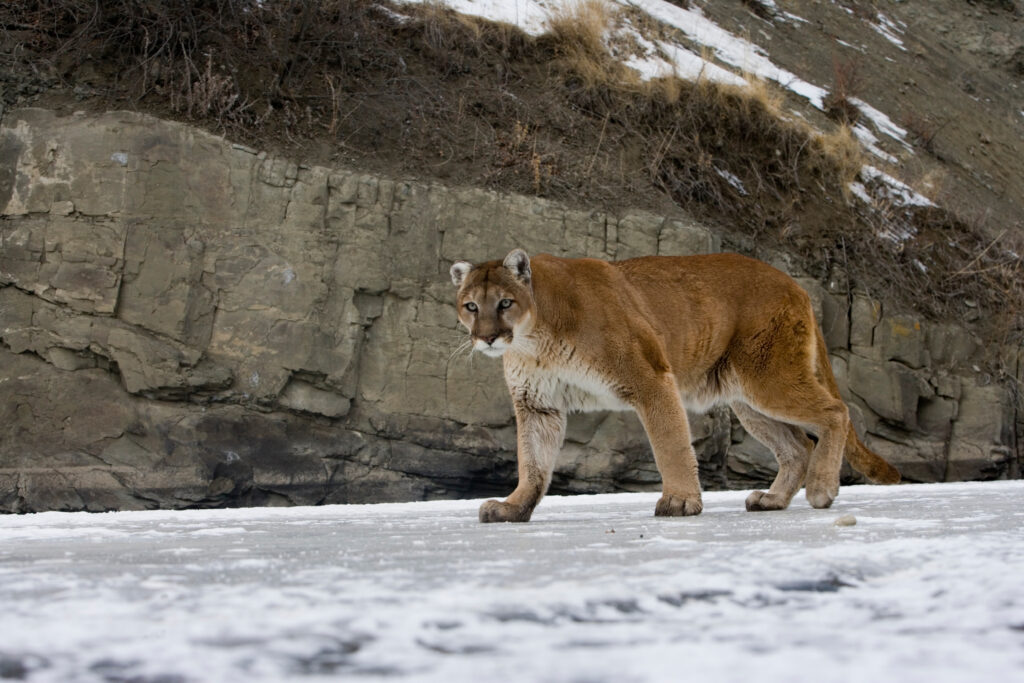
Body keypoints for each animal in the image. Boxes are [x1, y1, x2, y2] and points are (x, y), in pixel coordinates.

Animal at [452, 250, 901, 524]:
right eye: (471, 305)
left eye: (505, 303)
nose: (487, 337)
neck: (534, 340)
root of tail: (795, 283)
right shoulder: (538, 404)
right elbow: (532, 461)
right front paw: (514, 507)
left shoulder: (650, 378)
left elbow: (670, 445)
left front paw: (681, 502)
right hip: (747, 399)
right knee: (797, 446)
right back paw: (772, 500)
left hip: (768, 378)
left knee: (836, 413)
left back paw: (823, 488)